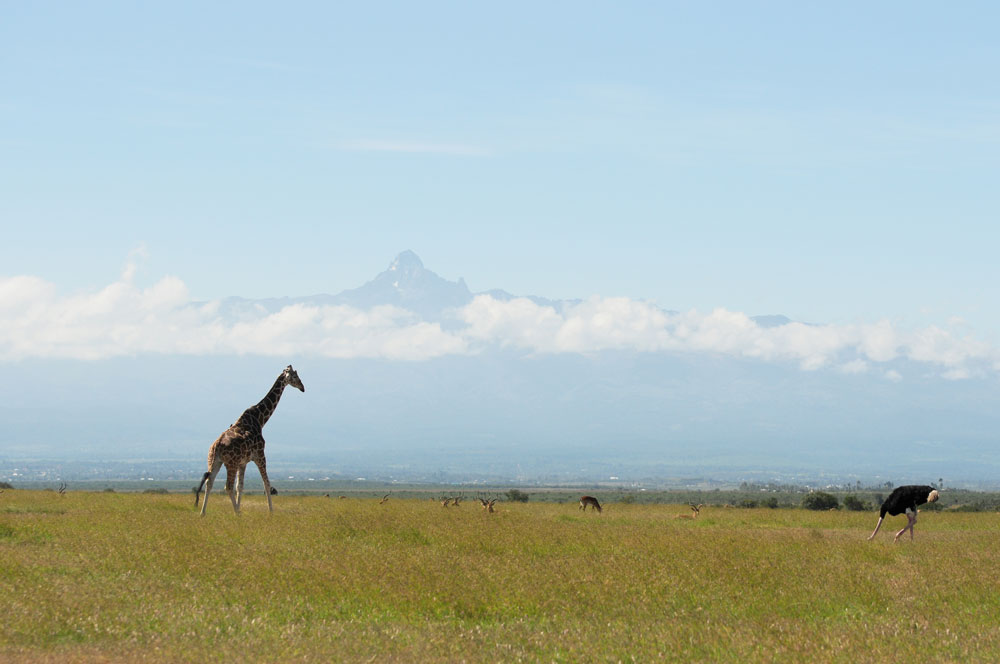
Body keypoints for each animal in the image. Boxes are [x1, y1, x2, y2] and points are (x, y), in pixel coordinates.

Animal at [195, 366, 302, 516]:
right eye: (295, 376)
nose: (303, 387)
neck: (260, 419)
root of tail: (217, 446)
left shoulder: (243, 462)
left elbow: (240, 486)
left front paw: (240, 507)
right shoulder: (260, 455)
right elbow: (266, 483)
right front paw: (271, 512)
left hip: (214, 461)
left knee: (209, 482)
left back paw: (203, 513)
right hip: (231, 463)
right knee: (227, 486)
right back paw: (237, 514)